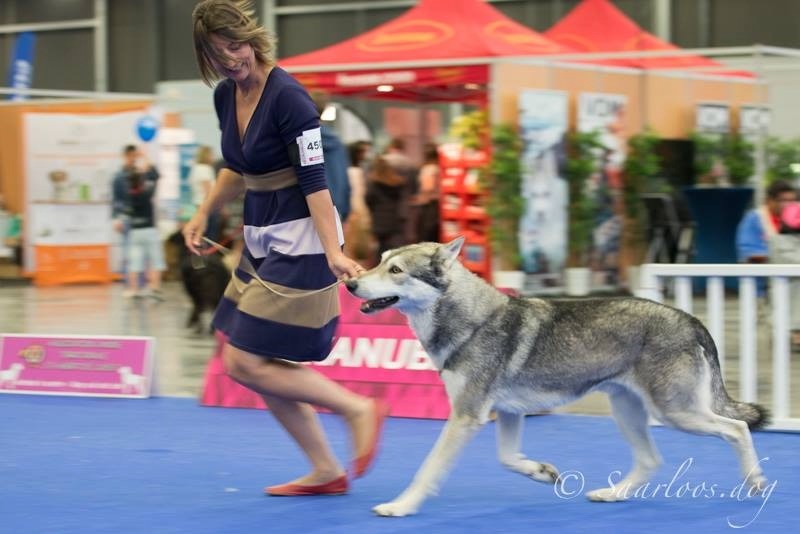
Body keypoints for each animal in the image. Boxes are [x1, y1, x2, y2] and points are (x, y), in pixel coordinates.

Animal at [344, 238, 770, 517]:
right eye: (379, 261)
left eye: (395, 270)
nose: (349, 283)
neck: (470, 321)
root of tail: (690, 318)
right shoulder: (506, 413)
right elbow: (508, 459)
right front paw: (542, 471)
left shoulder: (467, 416)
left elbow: (427, 469)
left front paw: (400, 506)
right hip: (629, 412)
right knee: (652, 461)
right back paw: (611, 495)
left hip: (675, 414)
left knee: (736, 429)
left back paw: (756, 482)